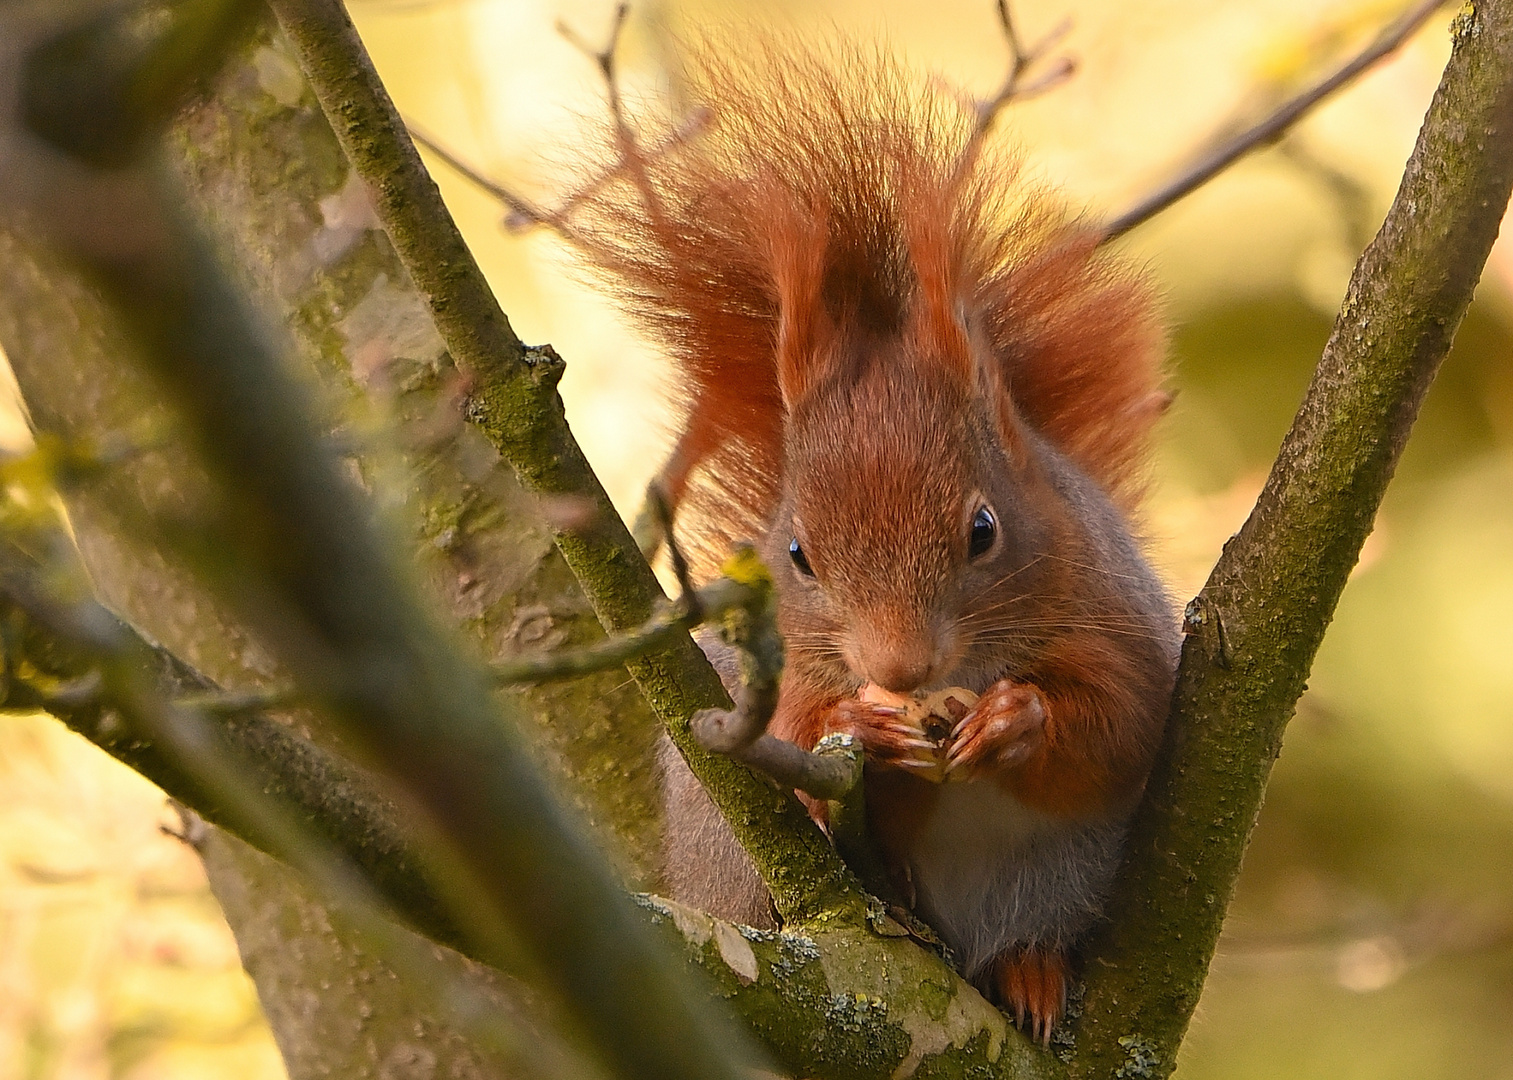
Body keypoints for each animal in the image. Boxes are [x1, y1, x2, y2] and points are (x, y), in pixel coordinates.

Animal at [562, 37, 1174, 1040]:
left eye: (983, 530)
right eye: (796, 555)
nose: (897, 668)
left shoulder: (1116, 615)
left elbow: (1119, 724)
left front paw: (1015, 718)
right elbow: (792, 739)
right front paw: (859, 726)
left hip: (1056, 880)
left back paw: (1031, 973)